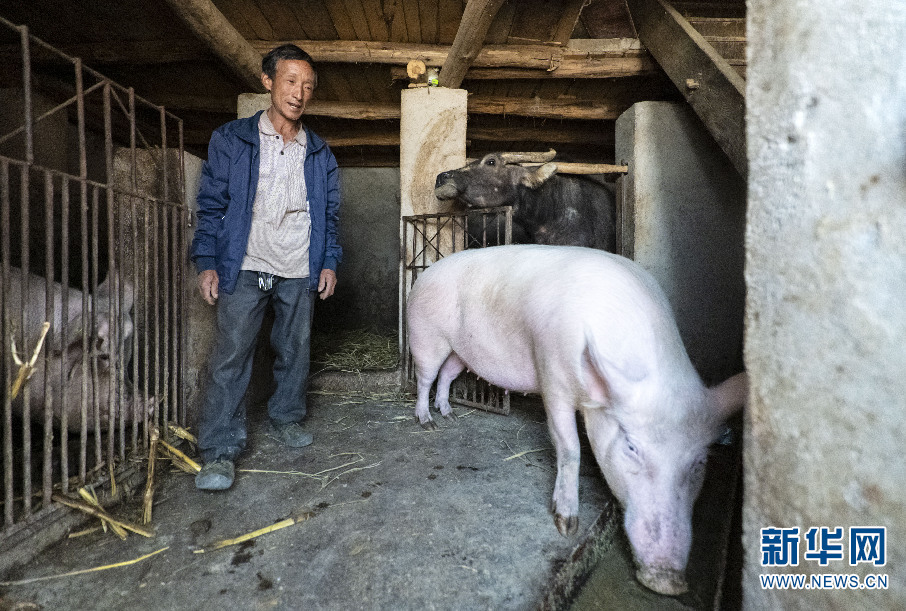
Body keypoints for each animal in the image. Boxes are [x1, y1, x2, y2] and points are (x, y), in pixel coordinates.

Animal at [406, 245, 744, 596]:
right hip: (425, 336)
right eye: (631, 447)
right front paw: (566, 525)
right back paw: (427, 421)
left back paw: (449, 414)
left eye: (700, 461)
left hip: (460, 352)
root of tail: (427, 273)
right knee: (425, 378)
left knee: (446, 376)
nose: (667, 581)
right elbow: (569, 448)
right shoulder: (552, 378)